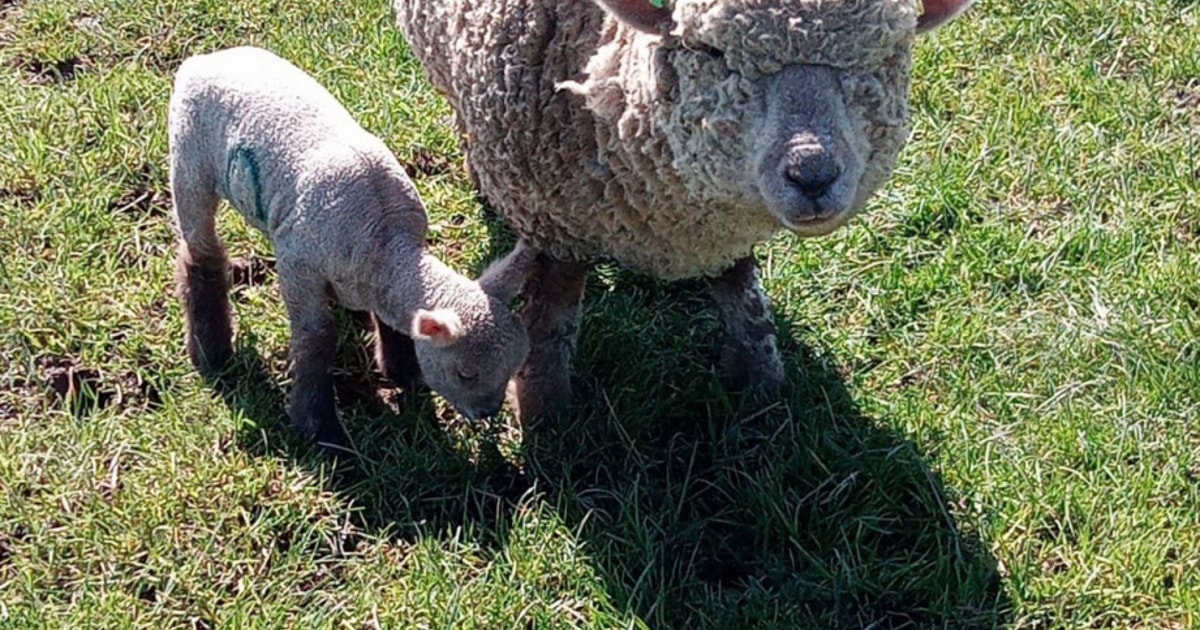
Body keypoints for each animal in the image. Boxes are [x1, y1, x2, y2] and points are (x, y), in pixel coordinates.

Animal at [168, 46, 536, 449]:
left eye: (514, 365)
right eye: (465, 373)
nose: (487, 412)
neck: (385, 244)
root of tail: (205, 59)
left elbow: (391, 321)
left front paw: (403, 370)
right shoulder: (297, 263)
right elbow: (316, 336)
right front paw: (318, 426)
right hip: (189, 162)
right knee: (199, 252)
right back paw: (211, 349)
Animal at [390, 0, 976, 418]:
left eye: (889, 52)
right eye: (710, 51)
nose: (812, 174)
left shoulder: (718, 232)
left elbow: (745, 302)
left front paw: (761, 386)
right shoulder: (556, 220)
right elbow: (550, 321)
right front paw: (544, 415)